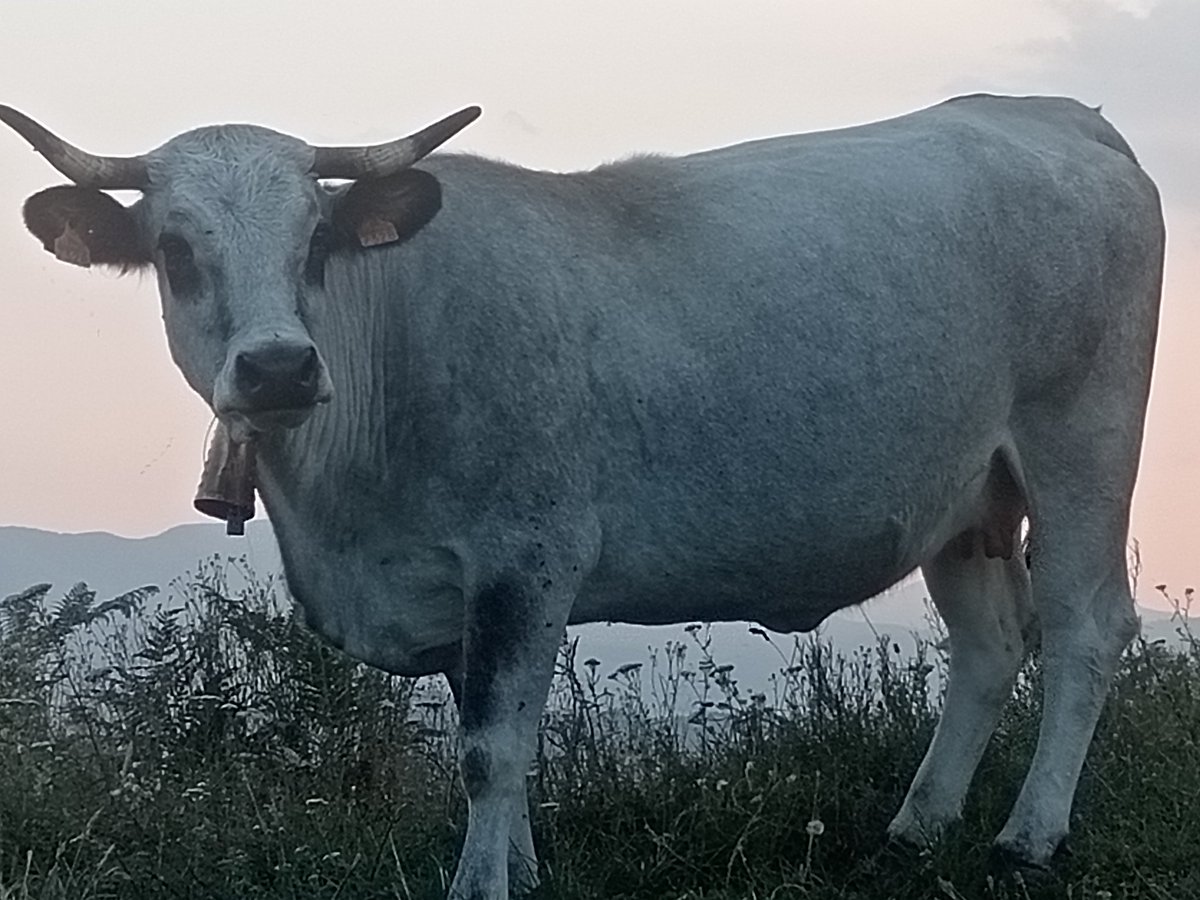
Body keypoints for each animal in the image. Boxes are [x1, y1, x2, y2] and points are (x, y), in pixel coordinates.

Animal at [1, 94, 1164, 899]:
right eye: (174, 249)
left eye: (316, 242)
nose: (280, 366)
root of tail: (1056, 114)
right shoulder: (459, 591)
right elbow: (496, 740)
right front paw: (521, 869)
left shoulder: (527, 560)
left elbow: (492, 750)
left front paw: (480, 886)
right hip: (963, 496)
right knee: (989, 645)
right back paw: (916, 829)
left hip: (1080, 446)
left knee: (1084, 627)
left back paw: (1027, 838)